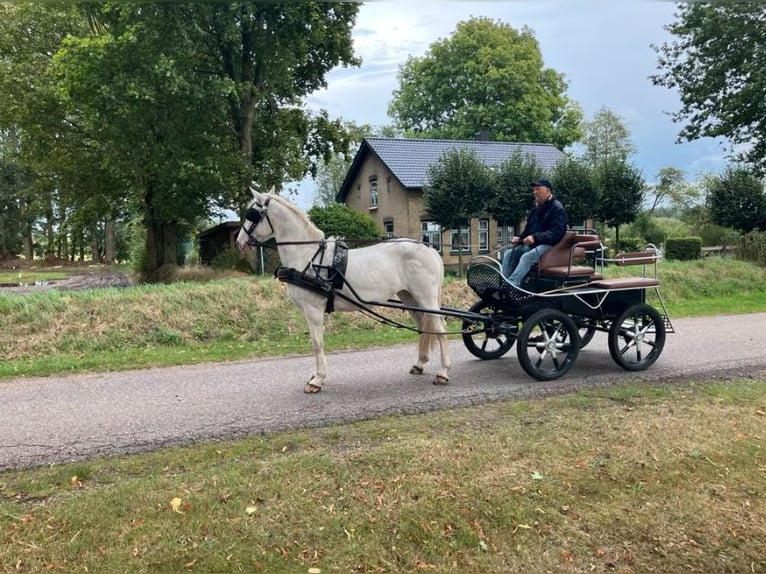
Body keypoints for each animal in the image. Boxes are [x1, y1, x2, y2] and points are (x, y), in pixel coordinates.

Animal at [236, 187, 452, 394]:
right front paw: (316, 376)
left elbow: (317, 343)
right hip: (410, 298)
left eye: (251, 214)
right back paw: (420, 364)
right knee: (424, 327)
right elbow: (316, 343)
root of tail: (430, 249)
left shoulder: (313, 309)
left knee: (440, 328)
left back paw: (443, 373)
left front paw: (317, 380)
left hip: (426, 297)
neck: (308, 256)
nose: (239, 241)